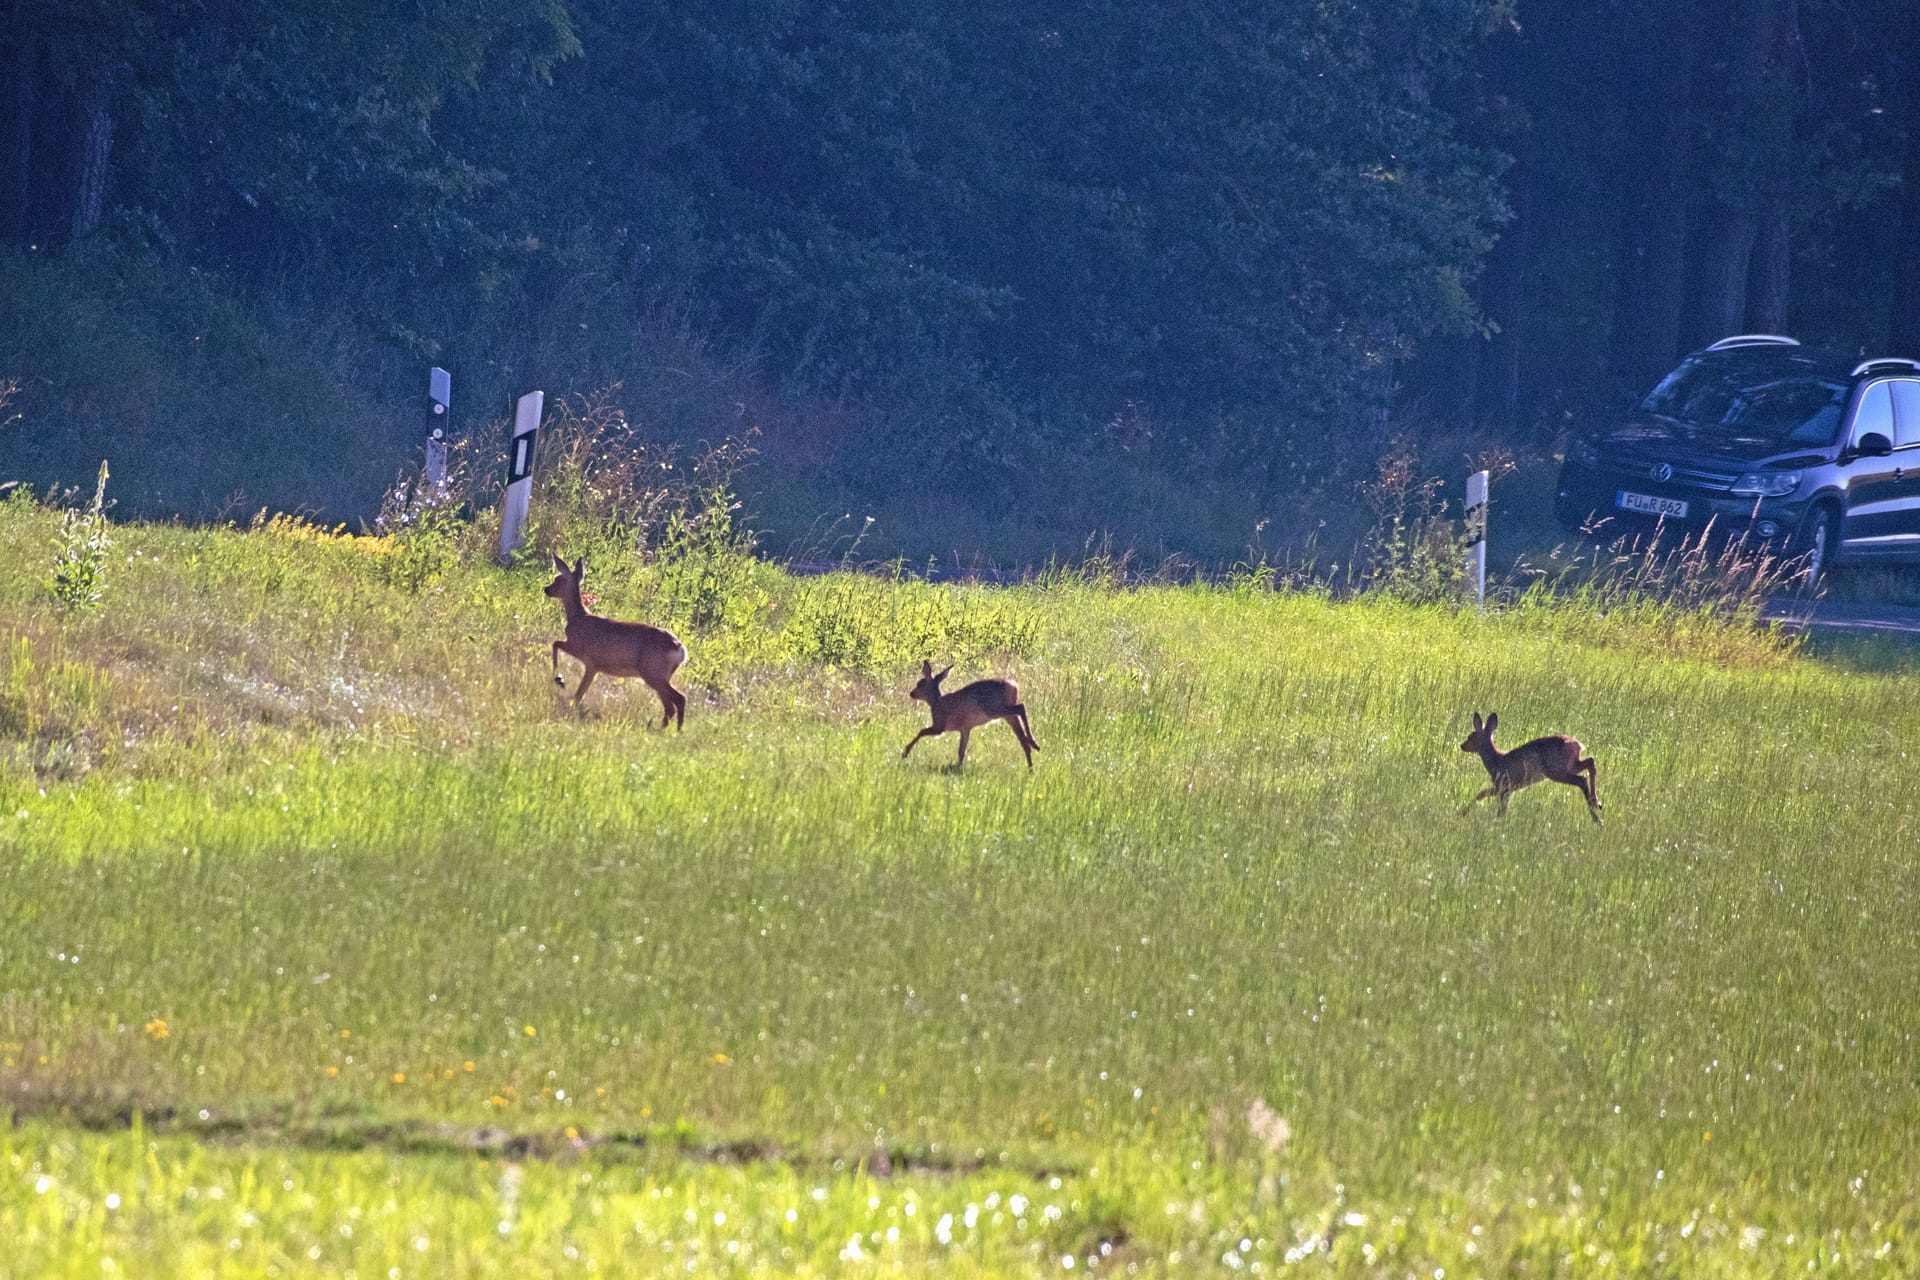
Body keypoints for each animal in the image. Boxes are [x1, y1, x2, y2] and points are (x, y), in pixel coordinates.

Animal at [545, 552, 687, 729]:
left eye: (558, 579)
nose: (546, 589)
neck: (578, 618)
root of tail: (680, 650)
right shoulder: (593, 665)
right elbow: (579, 692)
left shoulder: (582, 652)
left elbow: (555, 644)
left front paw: (559, 679)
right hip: (661, 674)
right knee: (672, 704)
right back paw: (670, 730)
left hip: (653, 672)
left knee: (678, 700)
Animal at [898, 660, 1036, 771]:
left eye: (920, 684)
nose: (911, 693)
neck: (936, 701)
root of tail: (1013, 686)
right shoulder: (965, 729)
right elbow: (961, 751)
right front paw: (958, 767)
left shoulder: (940, 725)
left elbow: (921, 731)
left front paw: (905, 752)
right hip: (1006, 715)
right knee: (1022, 737)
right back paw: (1031, 759)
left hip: (993, 708)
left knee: (1021, 707)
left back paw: (1033, 744)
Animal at [1459, 717, 1597, 825]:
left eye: (1471, 737)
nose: (1462, 746)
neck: (1496, 760)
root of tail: (1577, 744)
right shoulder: (1505, 788)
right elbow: (1483, 794)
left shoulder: (1504, 786)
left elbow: (1486, 797)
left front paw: (1463, 812)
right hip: (1570, 765)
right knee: (1590, 762)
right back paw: (1596, 803)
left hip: (1556, 770)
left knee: (1582, 779)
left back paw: (1596, 813)